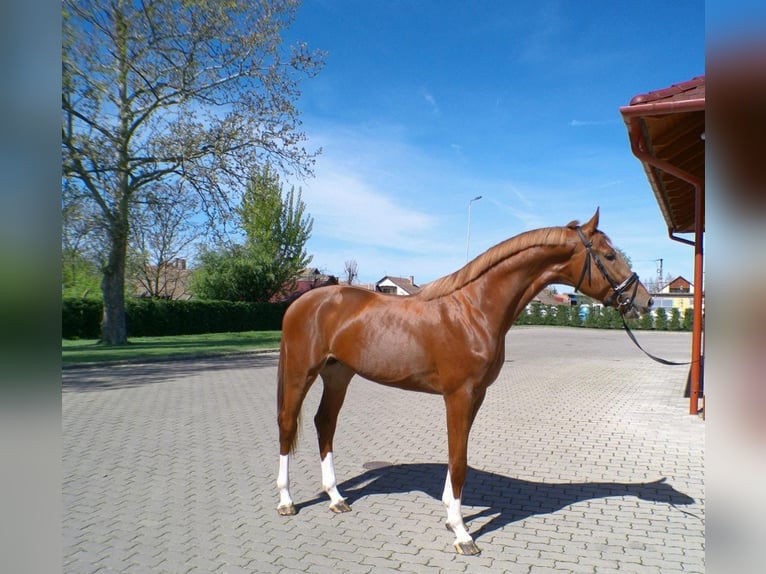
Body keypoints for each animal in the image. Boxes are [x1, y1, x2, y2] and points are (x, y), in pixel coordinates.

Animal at [276, 209, 656, 556]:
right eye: (609, 255)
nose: (645, 301)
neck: (474, 311)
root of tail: (302, 302)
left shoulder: (477, 396)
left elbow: (458, 457)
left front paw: (450, 517)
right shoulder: (459, 395)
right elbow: (458, 461)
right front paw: (461, 533)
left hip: (338, 374)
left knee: (325, 423)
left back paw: (336, 497)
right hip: (301, 372)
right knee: (287, 424)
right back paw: (286, 501)